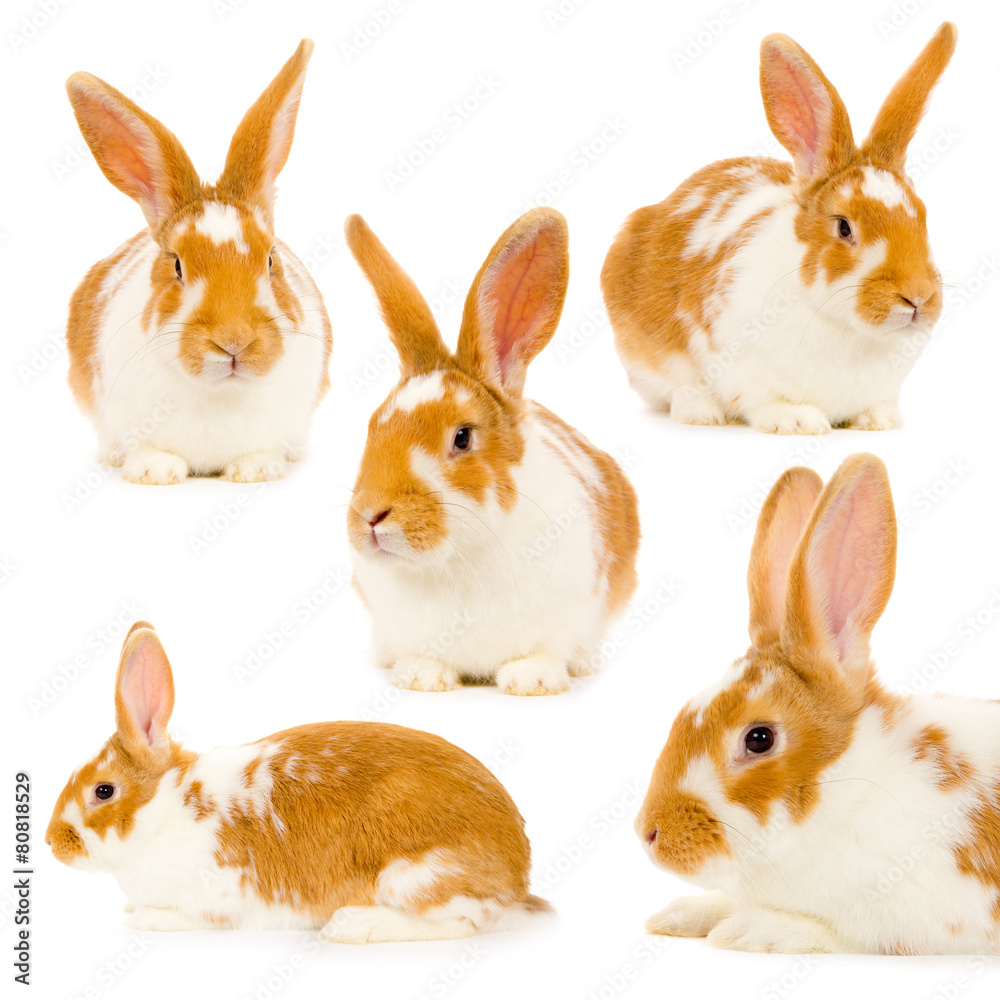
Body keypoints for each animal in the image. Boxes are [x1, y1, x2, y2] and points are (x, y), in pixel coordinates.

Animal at [45, 622, 552, 942]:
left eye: (103, 791)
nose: (52, 842)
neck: (168, 810)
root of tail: (517, 881)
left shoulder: (216, 901)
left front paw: (144, 918)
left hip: (413, 877)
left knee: (464, 923)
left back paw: (353, 927)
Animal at [344, 208, 640, 696]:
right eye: (371, 426)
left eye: (462, 437)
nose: (371, 514)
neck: (458, 556)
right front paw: (422, 676)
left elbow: (546, 651)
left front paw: (531, 680)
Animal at [601, 23, 957, 435]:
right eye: (844, 227)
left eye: (924, 215)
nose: (917, 297)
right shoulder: (738, 365)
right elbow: (763, 401)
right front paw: (798, 421)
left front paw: (878, 420)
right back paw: (702, 411)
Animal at [635, 453, 1000, 954]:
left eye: (759, 738)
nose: (648, 834)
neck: (854, 790)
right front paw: (681, 915)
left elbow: (841, 933)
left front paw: (753, 929)